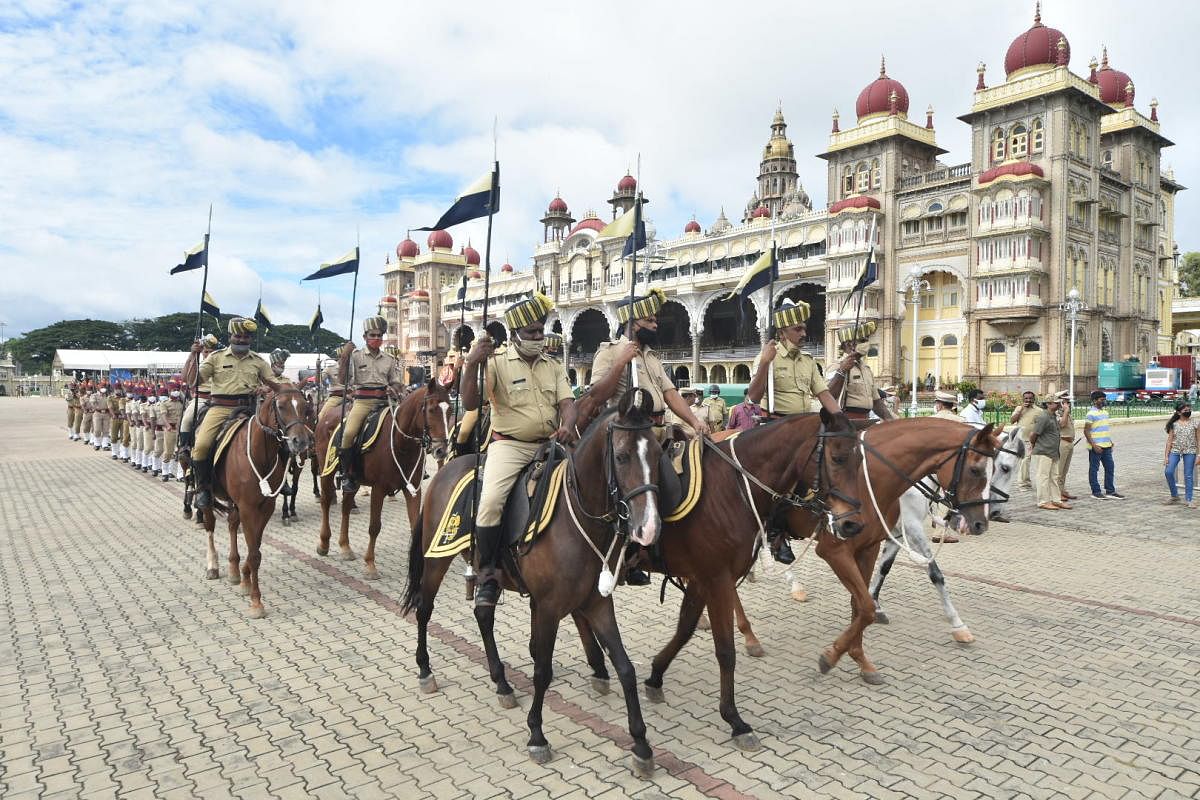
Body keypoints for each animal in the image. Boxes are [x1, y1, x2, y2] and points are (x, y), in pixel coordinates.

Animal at [198, 388, 312, 618]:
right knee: (210, 525)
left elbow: (255, 549)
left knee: (232, 525)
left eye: (306, 406)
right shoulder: (248, 508)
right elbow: (254, 552)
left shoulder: (264, 507)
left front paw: (245, 579)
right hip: (209, 495)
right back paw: (212, 565)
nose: (301, 442)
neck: (261, 455)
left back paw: (234, 569)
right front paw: (256, 602)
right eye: (281, 406)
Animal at [314, 383, 451, 582]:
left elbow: (414, 524)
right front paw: (370, 565)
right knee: (325, 502)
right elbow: (374, 527)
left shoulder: (412, 491)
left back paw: (345, 547)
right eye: (432, 409)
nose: (441, 450)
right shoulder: (378, 490)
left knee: (346, 507)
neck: (400, 444)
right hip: (326, 470)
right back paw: (324, 543)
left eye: (450, 410)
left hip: (353, 481)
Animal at [403, 388, 667, 777]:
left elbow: (626, 668)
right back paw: (424, 670)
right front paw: (537, 735)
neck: (576, 520)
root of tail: (445, 470)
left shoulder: (597, 603)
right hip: (436, 560)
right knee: (424, 609)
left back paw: (501, 682)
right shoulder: (548, 608)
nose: (648, 528)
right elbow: (542, 670)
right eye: (621, 456)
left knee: (483, 615)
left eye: (658, 453)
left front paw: (641, 744)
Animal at [868, 424, 1027, 642]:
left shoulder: (899, 530)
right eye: (1004, 468)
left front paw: (872, 605)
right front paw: (957, 624)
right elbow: (935, 573)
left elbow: (885, 566)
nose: (994, 511)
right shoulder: (911, 526)